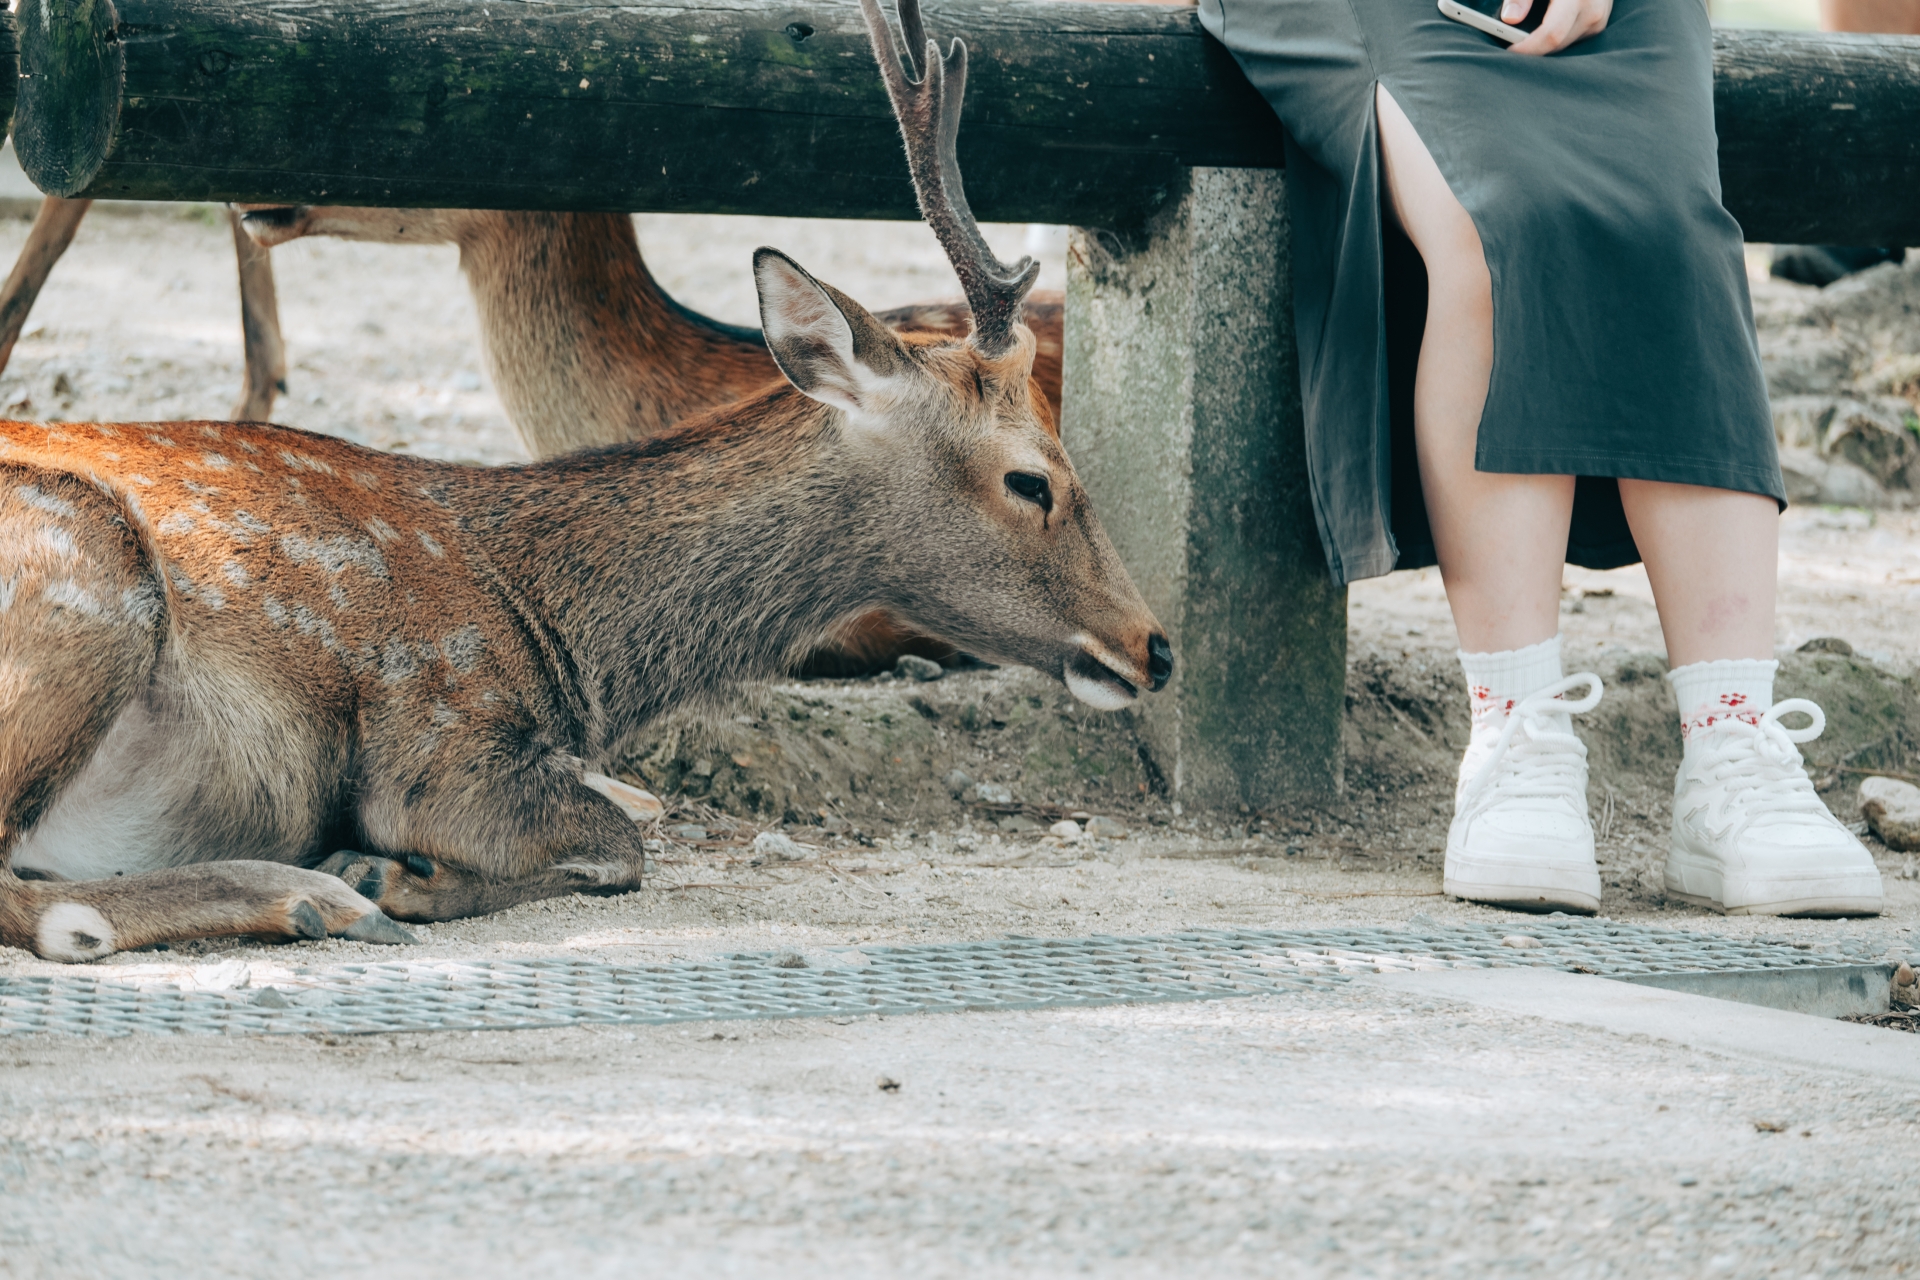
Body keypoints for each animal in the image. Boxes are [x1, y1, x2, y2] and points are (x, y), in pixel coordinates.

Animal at [0, 0, 1167, 959]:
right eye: (1033, 478)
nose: (1153, 645)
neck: (568, 645)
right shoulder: (437, 731)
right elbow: (617, 842)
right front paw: (384, 872)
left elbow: (634, 821)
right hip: (89, 571)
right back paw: (308, 895)